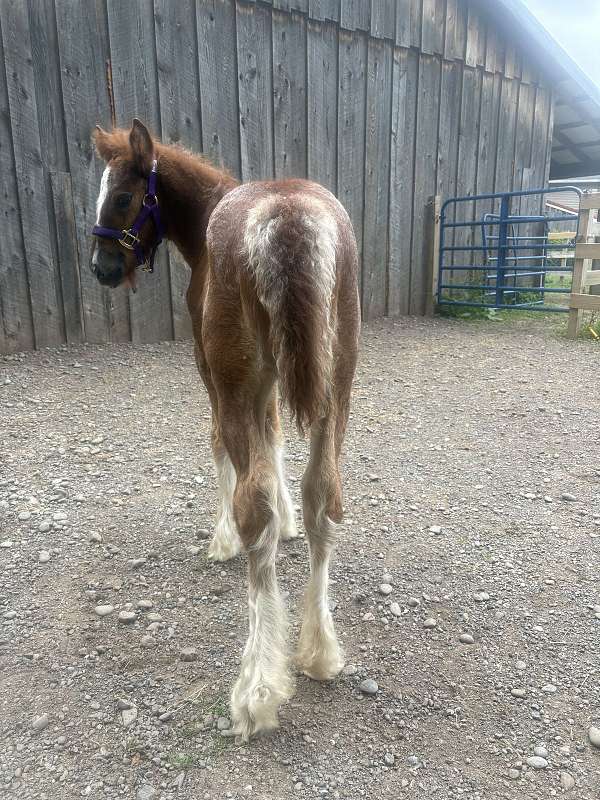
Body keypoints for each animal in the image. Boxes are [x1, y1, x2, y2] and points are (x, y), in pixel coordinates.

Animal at [91, 119, 360, 741]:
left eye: (123, 196)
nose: (101, 267)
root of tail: (288, 215)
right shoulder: (272, 383)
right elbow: (275, 440)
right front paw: (288, 522)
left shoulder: (212, 372)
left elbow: (220, 448)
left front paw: (221, 540)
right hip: (336, 386)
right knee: (323, 495)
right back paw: (318, 651)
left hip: (237, 376)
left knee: (251, 501)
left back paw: (258, 689)